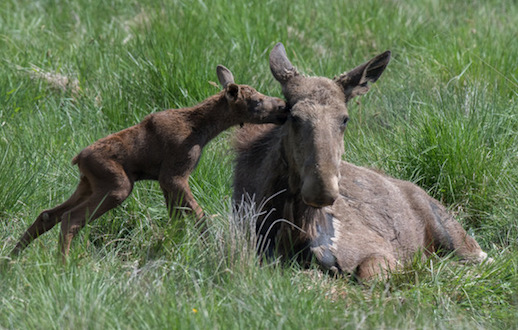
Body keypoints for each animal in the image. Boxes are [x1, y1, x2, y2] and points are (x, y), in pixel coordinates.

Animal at [11, 65, 288, 262]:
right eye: (257, 101)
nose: (283, 106)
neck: (203, 130)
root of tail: (77, 159)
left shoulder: (166, 181)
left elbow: (177, 221)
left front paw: (172, 248)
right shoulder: (174, 175)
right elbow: (199, 216)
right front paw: (209, 247)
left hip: (88, 184)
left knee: (48, 214)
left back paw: (12, 258)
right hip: (118, 185)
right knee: (70, 219)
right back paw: (62, 264)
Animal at [236, 43, 492, 282]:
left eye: (345, 118)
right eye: (294, 116)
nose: (321, 189)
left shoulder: (377, 249)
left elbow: (371, 275)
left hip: (457, 237)